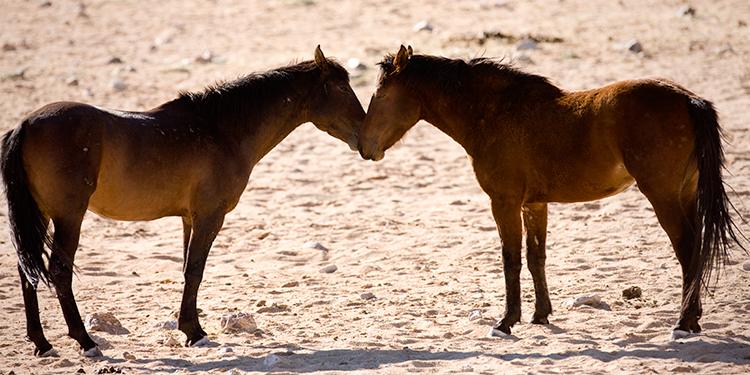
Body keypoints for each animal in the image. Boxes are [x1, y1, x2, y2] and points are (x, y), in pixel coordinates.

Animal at [2, 45, 368, 356]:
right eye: (341, 89)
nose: (364, 137)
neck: (221, 131)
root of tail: (26, 124)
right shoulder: (210, 215)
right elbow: (195, 270)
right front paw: (194, 331)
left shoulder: (189, 218)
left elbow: (186, 268)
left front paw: (188, 325)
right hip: (69, 216)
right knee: (59, 271)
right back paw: (85, 340)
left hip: (41, 215)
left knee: (27, 269)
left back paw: (41, 342)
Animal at [358, 46, 748, 340]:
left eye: (380, 94)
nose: (363, 146)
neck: (495, 113)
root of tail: (688, 99)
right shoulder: (534, 205)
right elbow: (536, 258)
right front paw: (540, 314)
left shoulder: (504, 202)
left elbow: (510, 259)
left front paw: (506, 321)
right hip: (685, 193)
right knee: (697, 248)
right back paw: (692, 319)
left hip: (662, 195)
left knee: (687, 249)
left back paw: (684, 322)